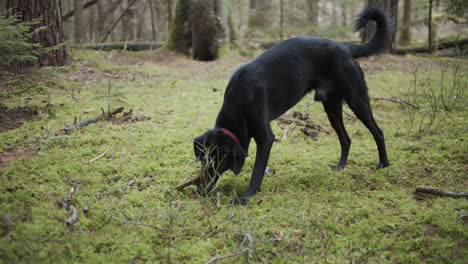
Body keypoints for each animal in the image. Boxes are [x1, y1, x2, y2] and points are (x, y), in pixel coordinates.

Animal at [194, 6, 392, 204]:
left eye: (219, 161)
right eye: (203, 160)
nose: (201, 189)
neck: (239, 98)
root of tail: (344, 47)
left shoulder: (265, 138)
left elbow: (257, 171)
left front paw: (246, 197)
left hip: (357, 99)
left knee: (378, 131)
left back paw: (384, 163)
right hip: (331, 105)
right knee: (346, 138)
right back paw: (340, 166)